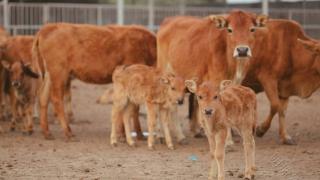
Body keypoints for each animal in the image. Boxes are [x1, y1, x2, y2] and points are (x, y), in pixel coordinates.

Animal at [158, 10, 268, 143]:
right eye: (229, 29)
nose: (242, 50)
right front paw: (228, 140)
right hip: (165, 74)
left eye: (252, 29)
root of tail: (168, 20)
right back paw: (169, 135)